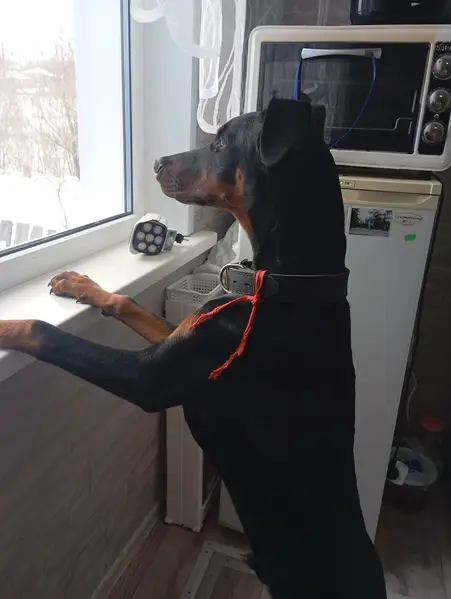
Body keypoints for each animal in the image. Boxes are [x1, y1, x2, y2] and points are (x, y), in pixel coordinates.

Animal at [0, 98, 387, 598]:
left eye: (220, 144)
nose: (156, 163)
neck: (286, 285)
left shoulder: (148, 379)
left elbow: (44, 330)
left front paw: (7, 324)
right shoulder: (183, 336)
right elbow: (128, 304)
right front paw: (79, 284)